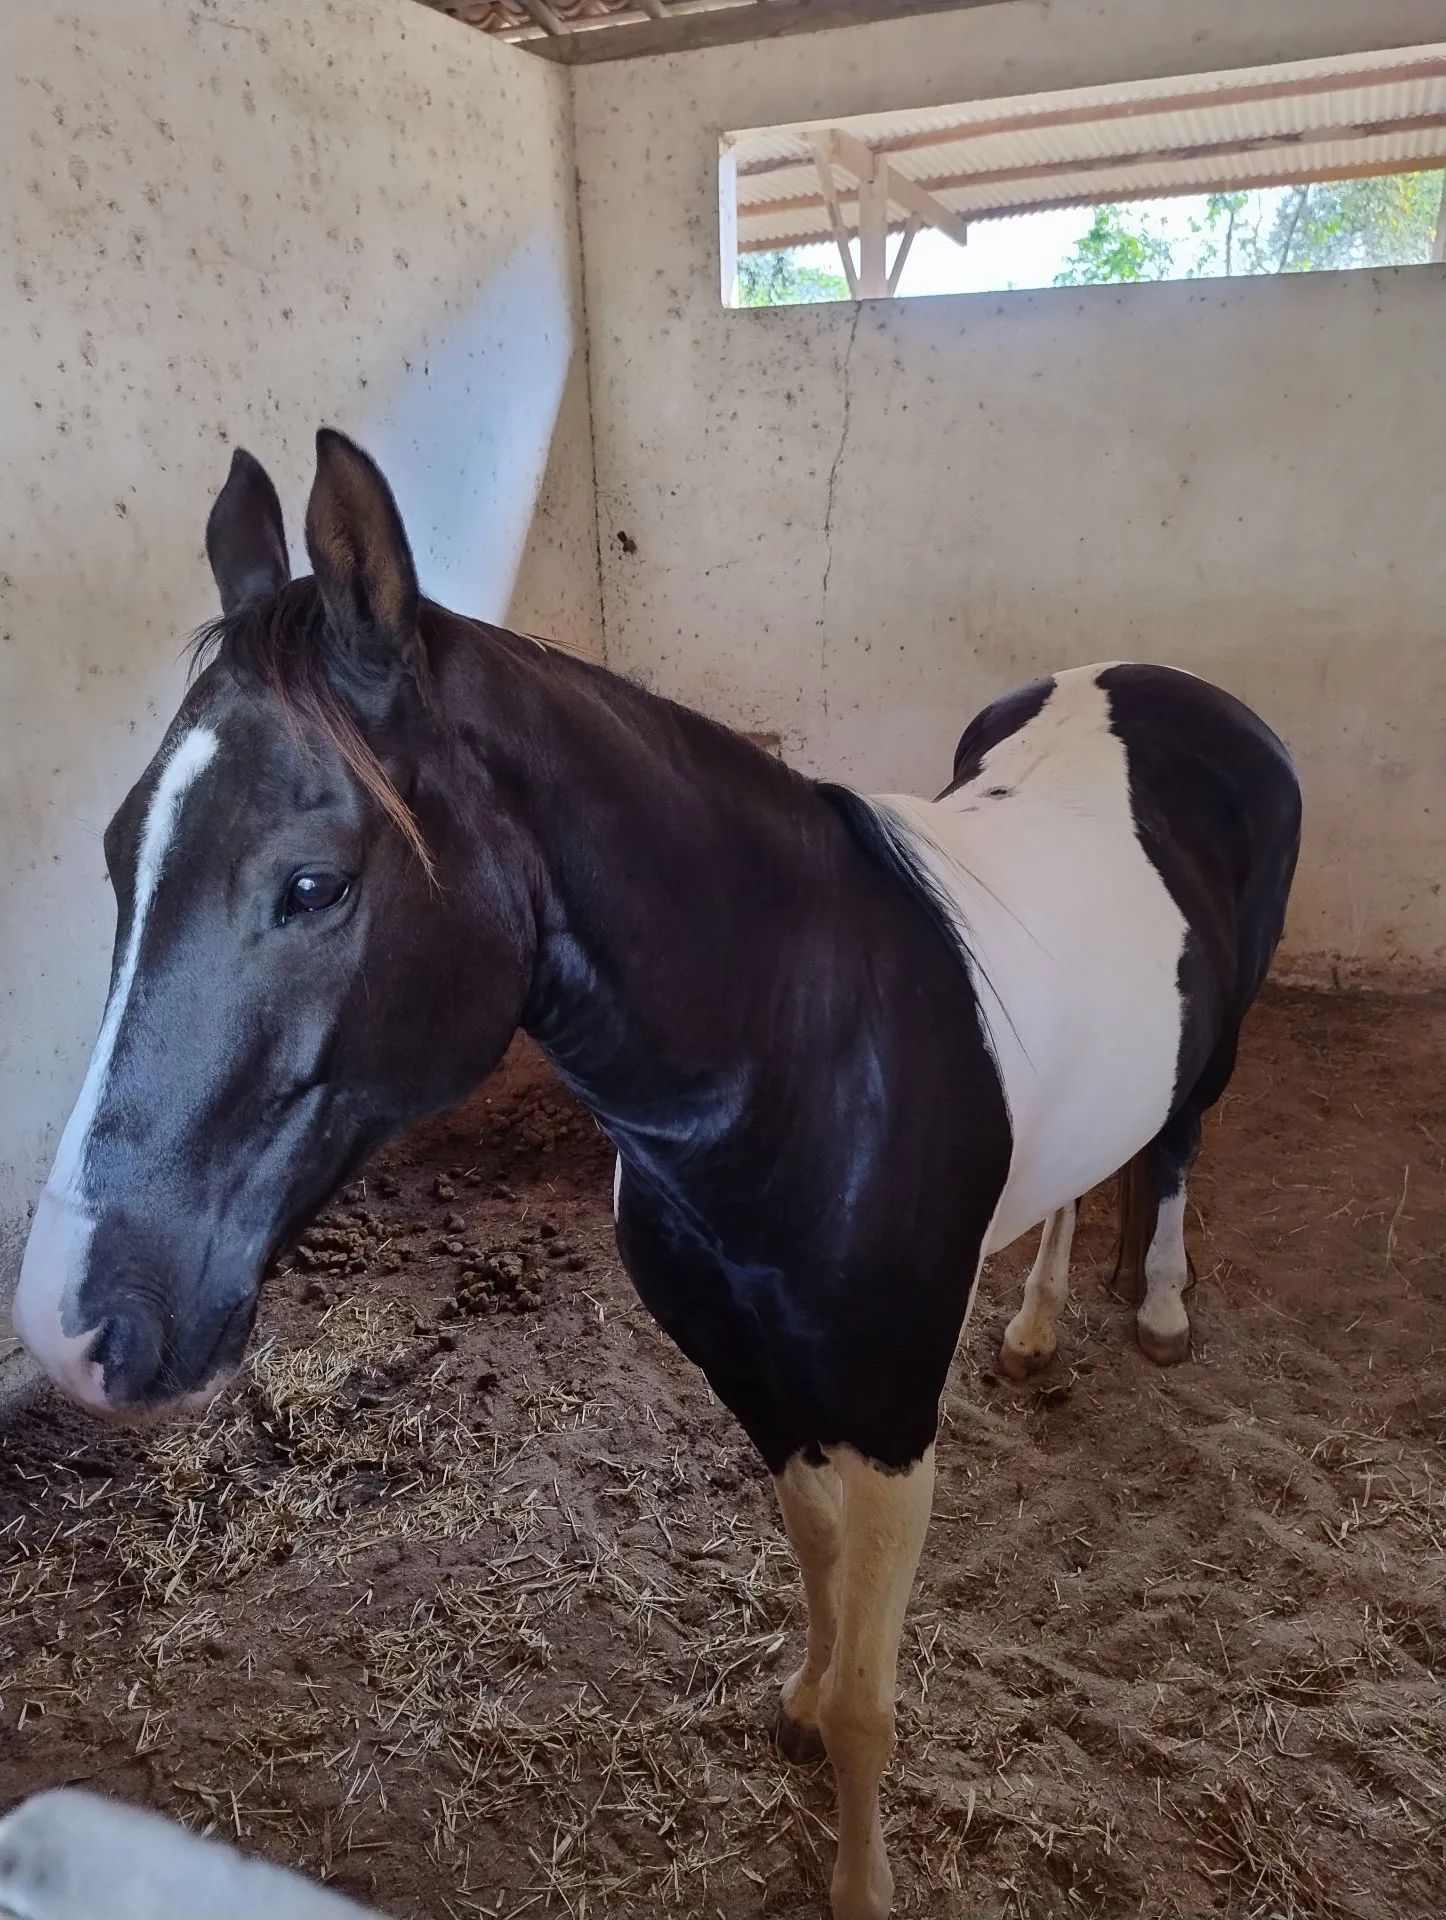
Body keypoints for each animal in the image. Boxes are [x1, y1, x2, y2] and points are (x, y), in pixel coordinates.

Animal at [13, 430, 1301, 1920]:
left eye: (314, 884)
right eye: (120, 856)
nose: (71, 1316)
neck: (810, 1048)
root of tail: (1174, 686)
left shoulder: (888, 1415)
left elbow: (872, 1698)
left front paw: (858, 1872)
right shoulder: (748, 1374)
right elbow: (811, 1557)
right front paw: (796, 1698)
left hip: (1219, 1045)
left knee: (1174, 1148)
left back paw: (1157, 1308)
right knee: (1088, 1178)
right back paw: (1036, 1327)